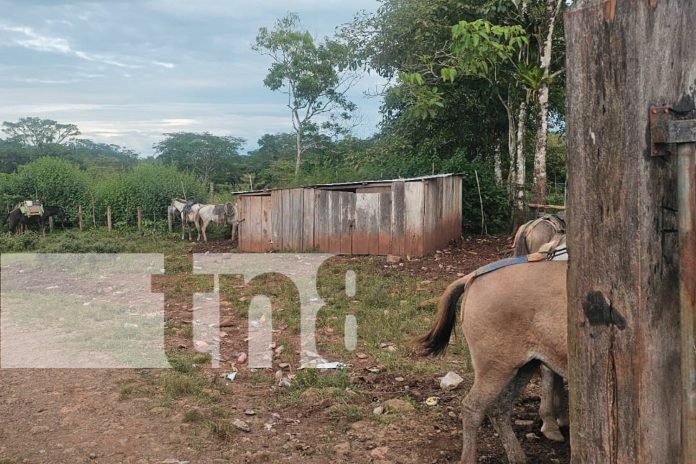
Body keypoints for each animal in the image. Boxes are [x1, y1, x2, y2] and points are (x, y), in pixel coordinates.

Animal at [416, 260, 568, 464]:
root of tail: (474, 276)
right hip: (494, 369)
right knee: (472, 408)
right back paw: (469, 459)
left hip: (523, 366)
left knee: (499, 408)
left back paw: (518, 457)